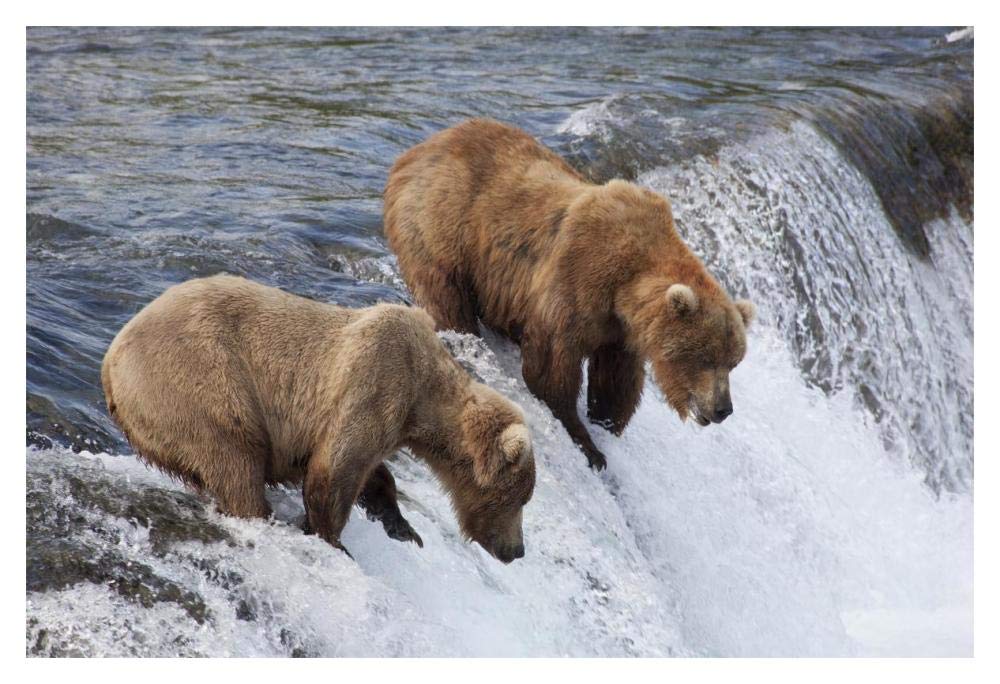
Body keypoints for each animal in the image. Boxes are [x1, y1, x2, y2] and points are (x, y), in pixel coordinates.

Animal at [101, 274, 536, 563]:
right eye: (518, 497)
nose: (516, 550)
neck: (422, 396)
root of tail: (109, 362)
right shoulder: (376, 382)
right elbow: (335, 470)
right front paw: (333, 540)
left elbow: (370, 472)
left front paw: (402, 527)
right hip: (198, 383)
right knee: (234, 458)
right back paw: (259, 513)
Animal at [384, 118, 754, 471]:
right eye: (705, 358)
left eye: (733, 362)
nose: (723, 408)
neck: (627, 283)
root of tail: (418, 150)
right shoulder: (577, 281)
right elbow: (550, 369)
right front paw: (588, 444)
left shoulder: (619, 332)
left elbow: (615, 381)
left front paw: (606, 424)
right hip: (443, 225)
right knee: (446, 295)